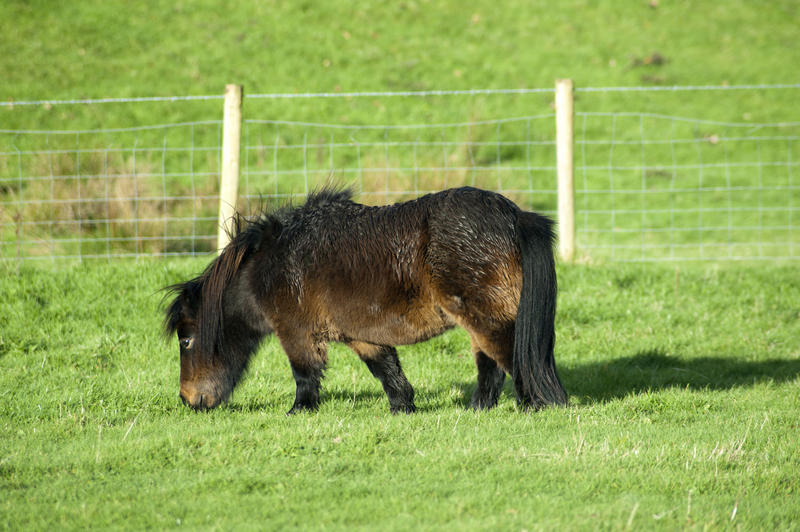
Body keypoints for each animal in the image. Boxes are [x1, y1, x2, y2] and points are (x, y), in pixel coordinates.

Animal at [162, 187, 564, 416]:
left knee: (514, 358)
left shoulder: (296, 333)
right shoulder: (362, 335)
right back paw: (477, 410)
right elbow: (388, 372)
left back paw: (532, 407)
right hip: (477, 319)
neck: (271, 264)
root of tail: (514, 216)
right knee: (490, 367)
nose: (188, 400)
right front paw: (403, 409)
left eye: (187, 340)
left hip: (486, 316)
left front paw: (298, 412)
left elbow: (304, 374)